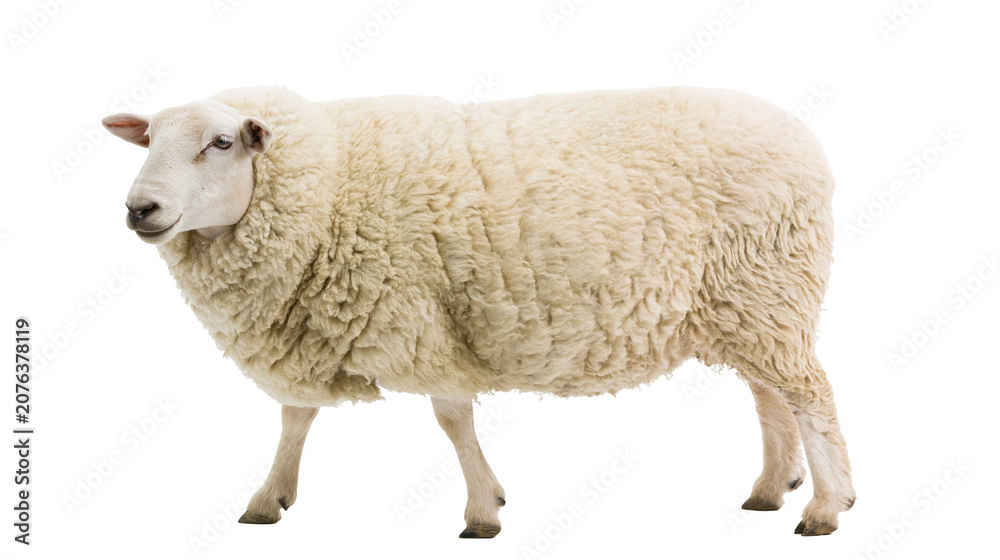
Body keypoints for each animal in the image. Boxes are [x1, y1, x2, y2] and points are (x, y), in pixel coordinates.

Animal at [102, 85, 855, 537]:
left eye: (221, 143)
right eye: (150, 141)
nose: (140, 208)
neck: (332, 185)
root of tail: (802, 137)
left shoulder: (420, 318)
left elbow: (451, 419)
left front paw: (481, 510)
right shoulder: (310, 322)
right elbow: (296, 417)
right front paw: (268, 497)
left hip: (768, 287)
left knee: (809, 394)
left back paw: (826, 505)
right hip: (746, 303)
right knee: (769, 394)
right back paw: (770, 487)